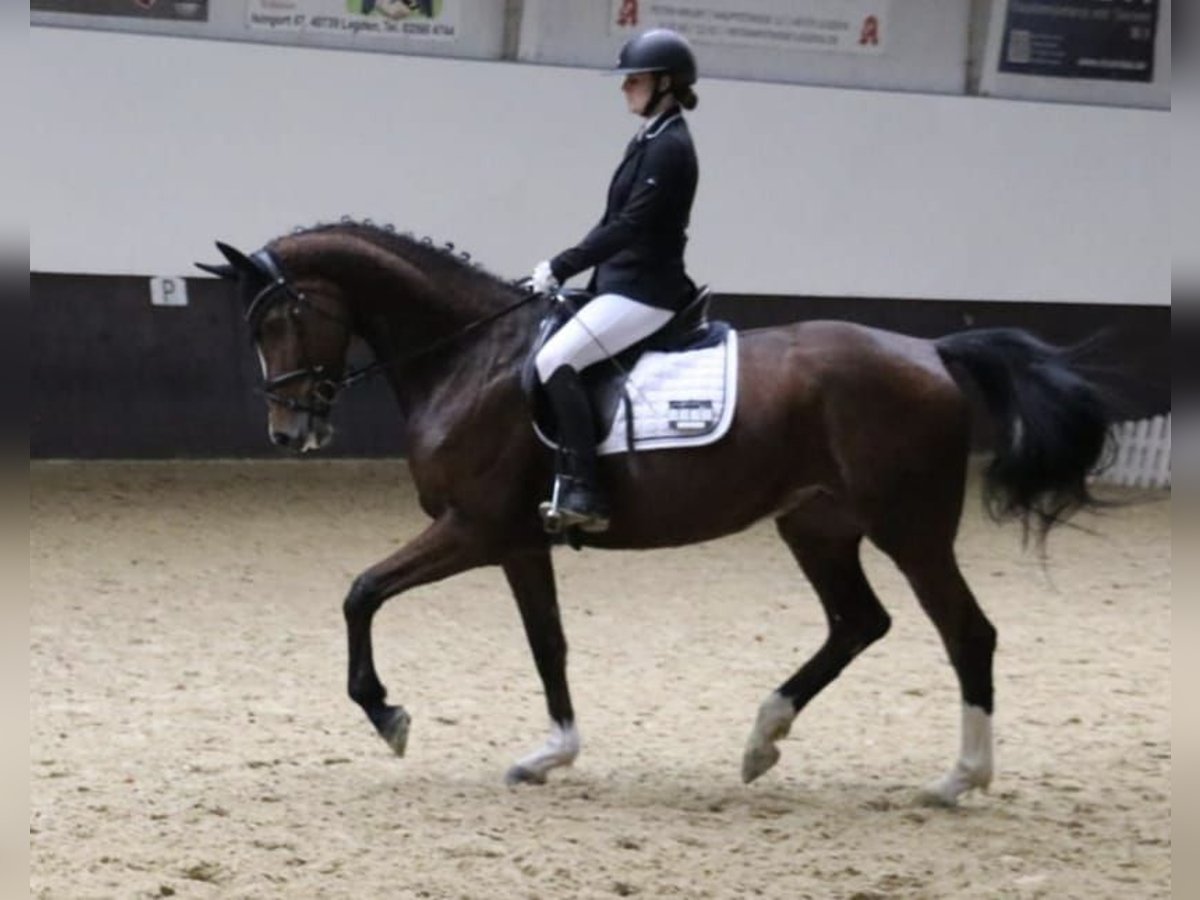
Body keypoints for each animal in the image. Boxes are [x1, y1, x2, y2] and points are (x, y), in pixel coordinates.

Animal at [197, 221, 1113, 805]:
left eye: (281, 318)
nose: (288, 431)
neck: (472, 356)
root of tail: (932, 350)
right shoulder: (519, 542)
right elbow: (548, 643)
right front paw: (551, 755)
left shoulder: (473, 528)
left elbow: (361, 592)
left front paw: (388, 715)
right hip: (816, 524)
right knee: (859, 622)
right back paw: (762, 740)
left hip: (909, 528)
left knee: (966, 633)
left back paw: (959, 779)